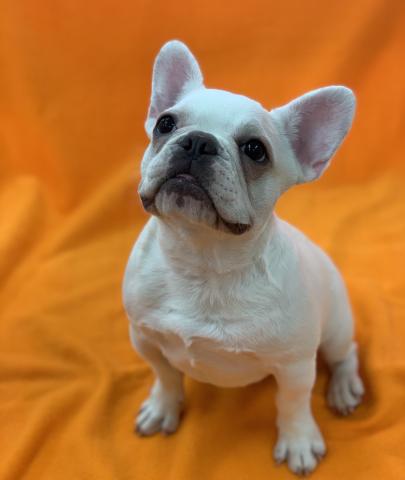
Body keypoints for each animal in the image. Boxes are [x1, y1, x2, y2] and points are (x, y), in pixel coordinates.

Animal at [122, 40, 364, 475]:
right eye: (165, 123)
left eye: (255, 150)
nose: (197, 141)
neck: (202, 259)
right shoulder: (144, 337)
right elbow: (165, 375)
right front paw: (163, 407)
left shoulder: (295, 366)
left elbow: (292, 403)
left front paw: (298, 440)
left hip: (335, 327)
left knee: (345, 355)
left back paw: (343, 388)